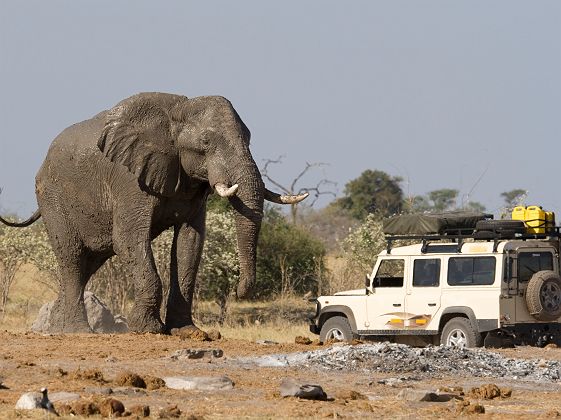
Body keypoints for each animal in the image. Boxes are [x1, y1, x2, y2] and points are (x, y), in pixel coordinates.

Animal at [1, 92, 306, 334]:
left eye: (250, 139)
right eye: (206, 142)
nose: (239, 291)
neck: (176, 113)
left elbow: (189, 244)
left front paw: (186, 331)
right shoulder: (128, 178)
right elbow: (128, 239)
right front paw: (147, 329)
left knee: (88, 263)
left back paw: (55, 329)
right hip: (52, 197)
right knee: (72, 257)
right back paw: (77, 331)